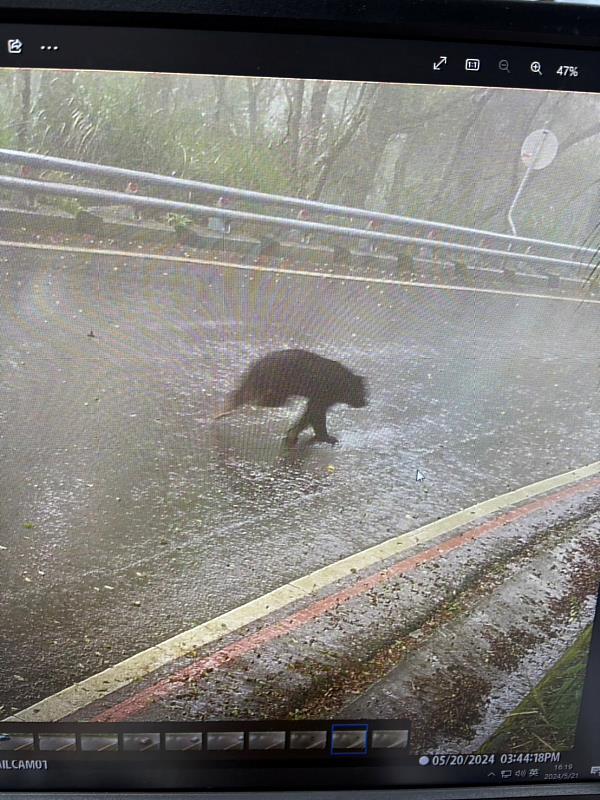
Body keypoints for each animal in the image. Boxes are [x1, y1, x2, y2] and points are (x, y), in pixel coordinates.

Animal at [215, 349, 367, 446]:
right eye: (360, 392)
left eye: (365, 393)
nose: (364, 402)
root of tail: (256, 365)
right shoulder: (323, 395)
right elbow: (316, 415)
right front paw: (325, 437)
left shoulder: (322, 399)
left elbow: (307, 416)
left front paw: (292, 434)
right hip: (276, 383)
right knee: (252, 396)